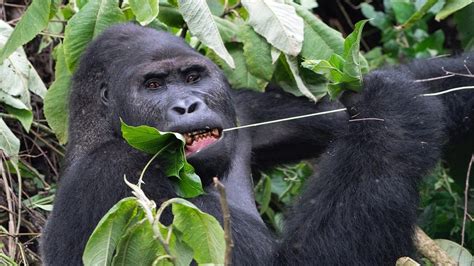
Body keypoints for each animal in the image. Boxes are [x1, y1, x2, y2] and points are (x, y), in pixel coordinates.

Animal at [41, 23, 474, 264]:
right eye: (153, 85)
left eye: (193, 77)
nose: (187, 105)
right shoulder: (118, 173)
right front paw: (389, 106)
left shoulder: (243, 111)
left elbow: (337, 113)